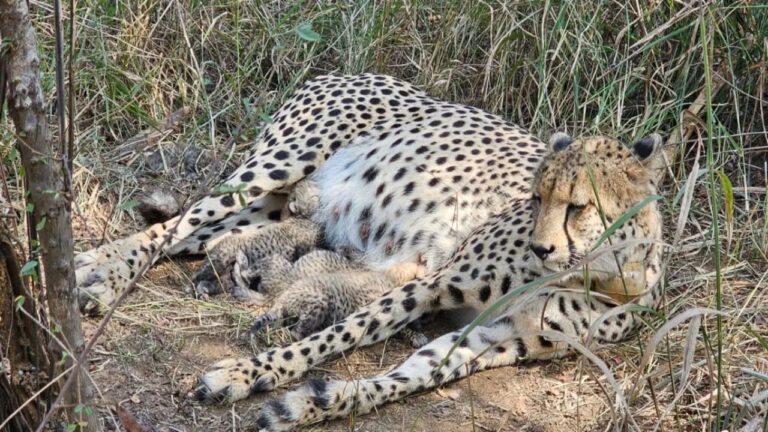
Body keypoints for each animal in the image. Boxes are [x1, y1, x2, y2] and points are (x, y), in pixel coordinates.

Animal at [72, 73, 666, 431]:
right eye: (537, 197)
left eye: (578, 206)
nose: (541, 246)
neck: (602, 273)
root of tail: (345, 72)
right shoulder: (433, 284)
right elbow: (342, 333)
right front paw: (247, 372)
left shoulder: (499, 337)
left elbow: (408, 376)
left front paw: (311, 404)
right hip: (277, 165)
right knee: (178, 223)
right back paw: (98, 272)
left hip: (274, 210)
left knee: (204, 237)